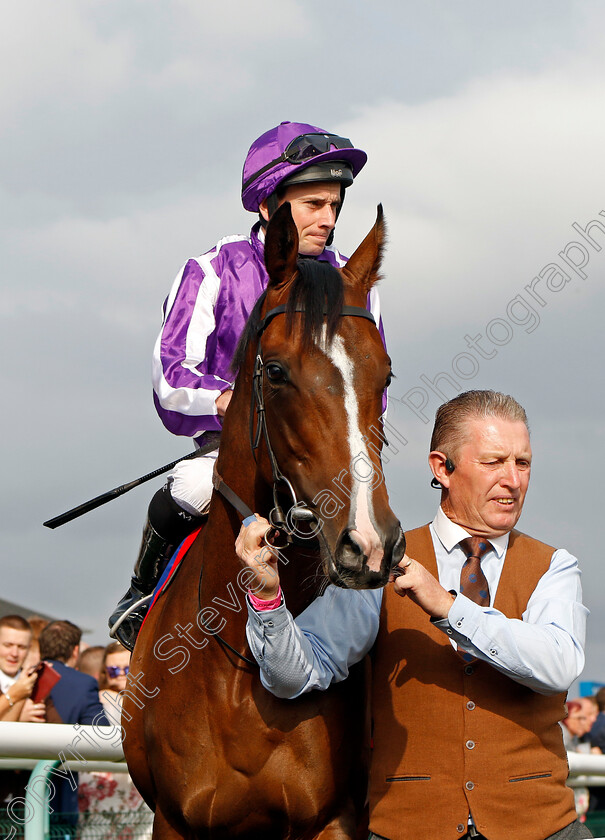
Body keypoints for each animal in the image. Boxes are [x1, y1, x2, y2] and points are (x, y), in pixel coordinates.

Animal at [122, 203, 406, 840]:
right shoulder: (173, 819)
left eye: (386, 374)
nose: (370, 545)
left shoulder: (329, 818)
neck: (237, 670)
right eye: (275, 371)